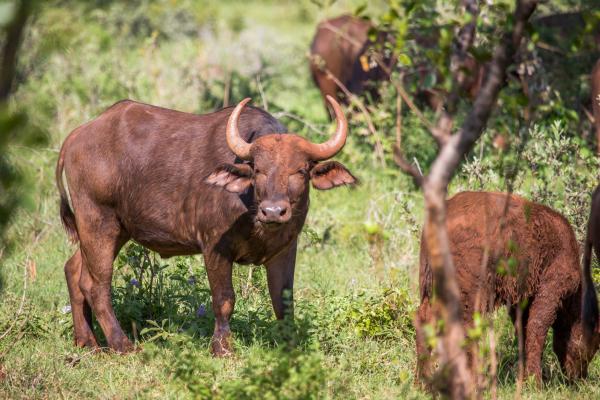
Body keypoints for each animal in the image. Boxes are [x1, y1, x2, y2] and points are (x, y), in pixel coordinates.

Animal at [55, 95, 356, 354]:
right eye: (258, 170)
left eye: (301, 171)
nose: (273, 211)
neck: (251, 210)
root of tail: (76, 137)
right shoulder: (215, 247)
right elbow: (224, 300)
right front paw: (222, 348)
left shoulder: (284, 250)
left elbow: (284, 302)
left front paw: (290, 346)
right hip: (98, 221)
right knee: (97, 285)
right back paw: (122, 345)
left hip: (116, 229)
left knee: (74, 271)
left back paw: (87, 342)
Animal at [418, 192, 600, 382]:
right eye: (596, 344)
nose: (580, 377)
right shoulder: (552, 286)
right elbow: (537, 327)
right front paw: (535, 380)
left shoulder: (522, 297)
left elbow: (523, 330)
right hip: (469, 290)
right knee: (466, 326)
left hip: (431, 287)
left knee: (425, 319)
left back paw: (421, 381)